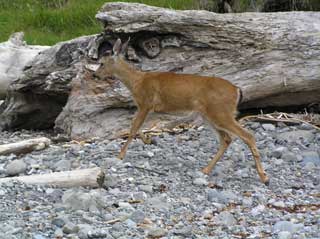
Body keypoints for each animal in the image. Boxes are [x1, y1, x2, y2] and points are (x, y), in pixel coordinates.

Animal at [93, 38, 270, 185]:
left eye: (101, 63)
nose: (95, 75)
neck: (137, 81)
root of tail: (237, 90)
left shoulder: (145, 103)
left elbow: (133, 127)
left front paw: (120, 155)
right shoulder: (149, 108)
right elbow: (137, 126)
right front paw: (147, 140)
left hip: (220, 112)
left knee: (247, 136)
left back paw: (264, 177)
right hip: (210, 115)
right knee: (227, 139)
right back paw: (205, 169)